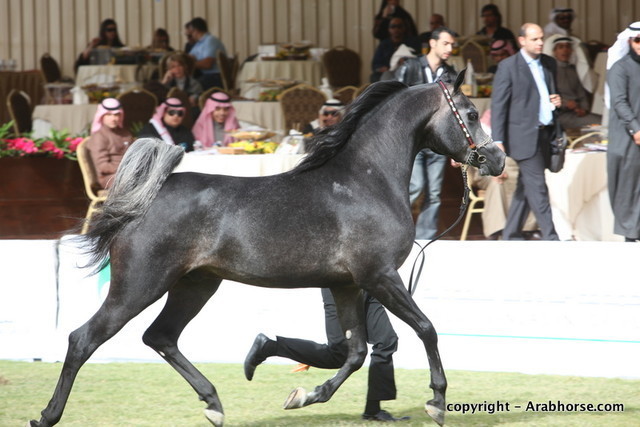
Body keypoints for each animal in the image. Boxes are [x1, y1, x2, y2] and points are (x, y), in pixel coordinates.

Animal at [30, 73, 505, 427]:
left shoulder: (349, 285)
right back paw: (46, 415)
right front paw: (436, 403)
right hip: (139, 286)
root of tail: (144, 198)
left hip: (195, 285)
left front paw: (303, 395)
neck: (365, 181)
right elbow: (426, 328)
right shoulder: (381, 276)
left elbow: (354, 353)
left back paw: (215, 405)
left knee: (160, 336)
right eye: (470, 113)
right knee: (83, 338)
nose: (497, 160)